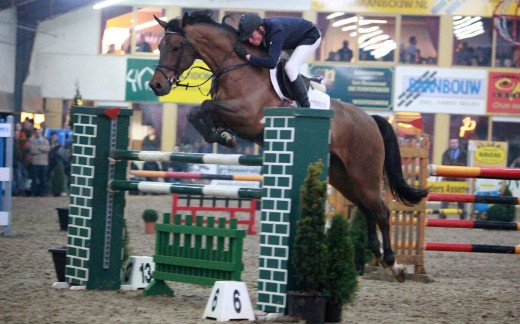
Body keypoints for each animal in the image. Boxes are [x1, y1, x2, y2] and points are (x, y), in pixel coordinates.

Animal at [148, 11, 428, 282]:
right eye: (159, 46)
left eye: (175, 47)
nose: (156, 86)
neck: (237, 66)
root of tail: (371, 120)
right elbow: (197, 114)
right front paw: (222, 135)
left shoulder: (246, 115)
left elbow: (204, 108)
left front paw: (224, 137)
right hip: (343, 177)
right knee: (367, 209)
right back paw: (378, 255)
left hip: (364, 173)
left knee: (381, 211)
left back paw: (394, 265)